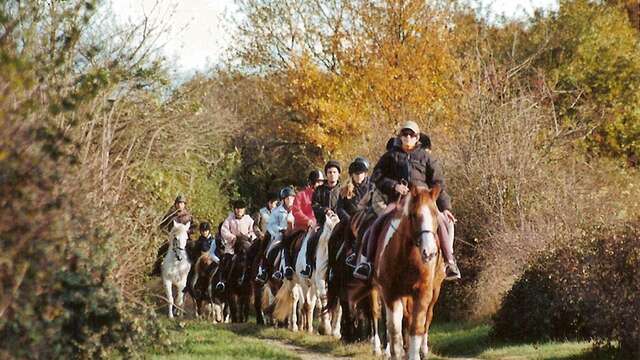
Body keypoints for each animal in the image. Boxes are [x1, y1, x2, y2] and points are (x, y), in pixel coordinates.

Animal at [376, 184, 444, 358]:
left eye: (435, 214)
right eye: (414, 215)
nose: (430, 252)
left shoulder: (423, 292)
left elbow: (417, 327)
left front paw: (414, 353)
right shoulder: (390, 294)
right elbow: (394, 330)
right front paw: (396, 353)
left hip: (435, 290)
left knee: (427, 318)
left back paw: (423, 349)